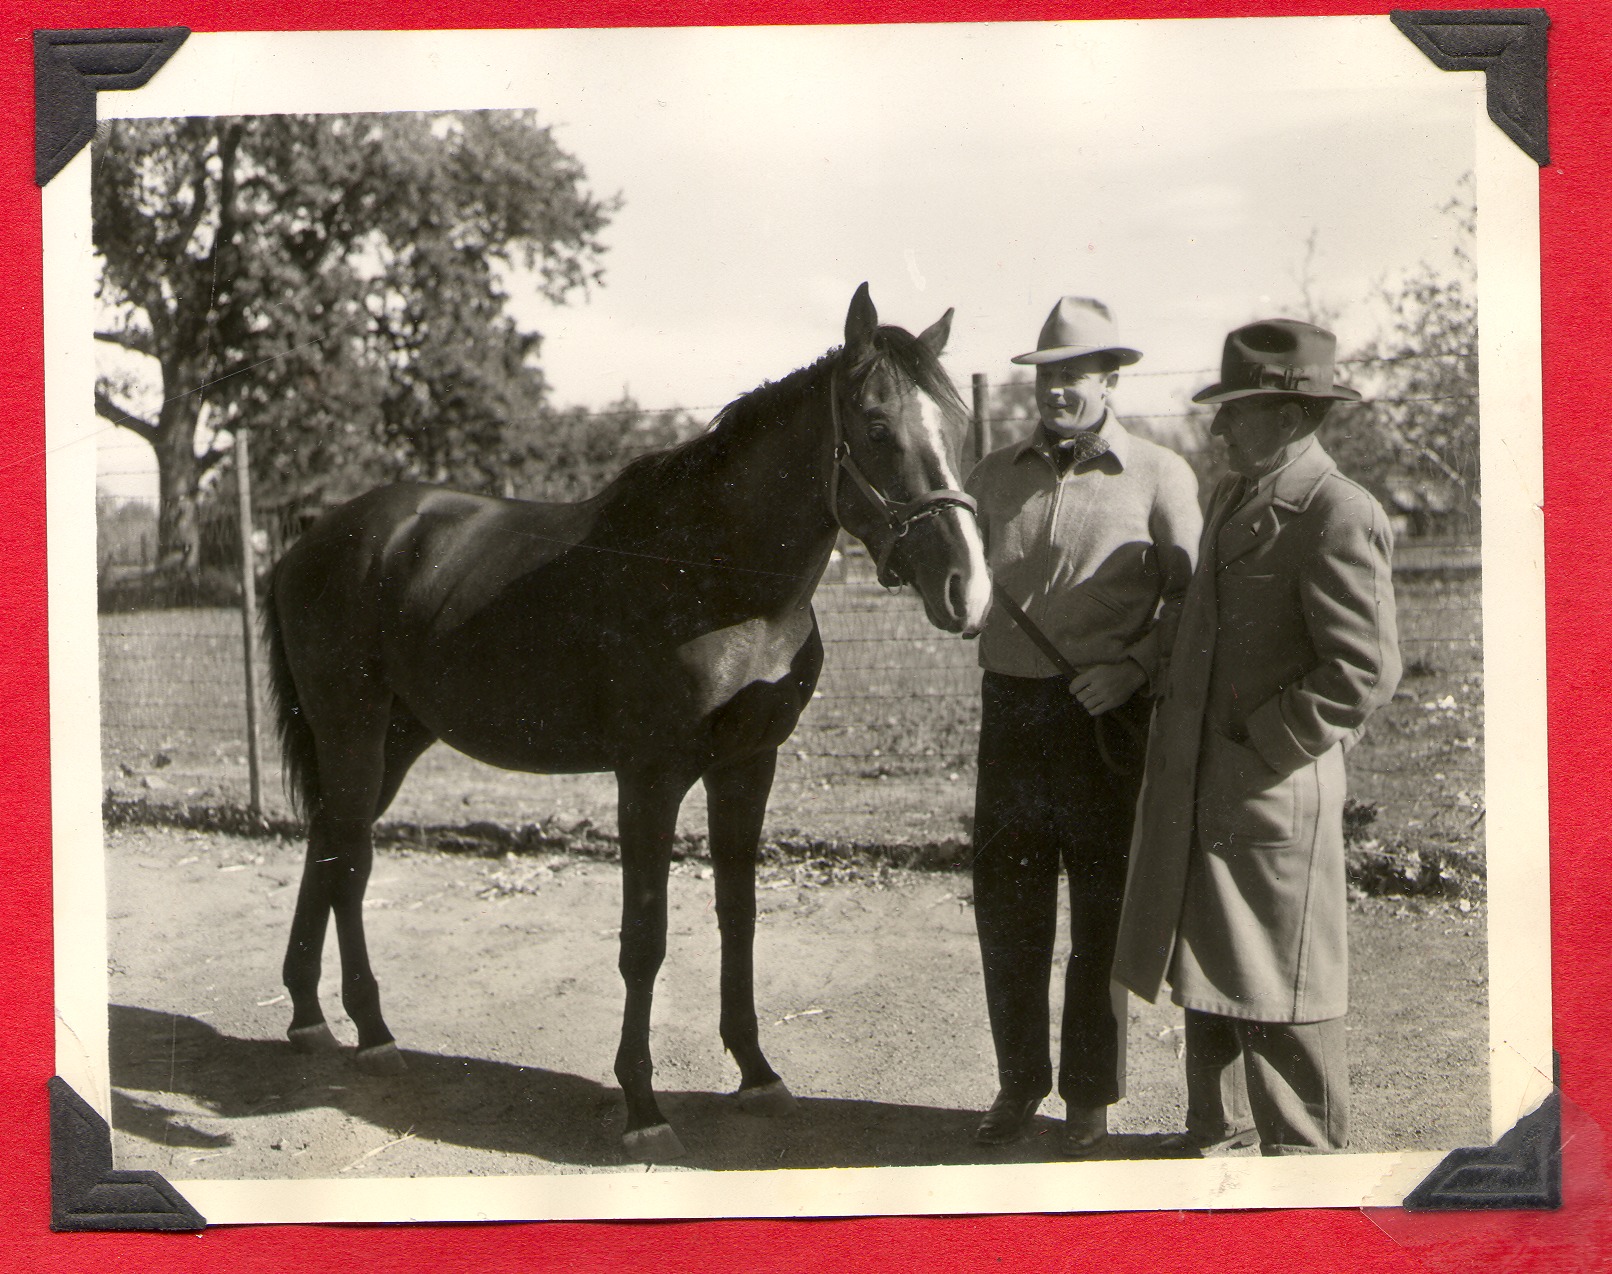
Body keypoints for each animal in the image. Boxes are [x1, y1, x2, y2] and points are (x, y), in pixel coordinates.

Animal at [261, 283, 992, 1161]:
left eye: (960, 425)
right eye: (877, 426)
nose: (968, 589)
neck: (713, 575)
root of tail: (309, 542)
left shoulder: (749, 765)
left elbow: (738, 916)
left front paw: (756, 1072)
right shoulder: (649, 779)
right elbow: (645, 939)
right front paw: (643, 1105)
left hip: (394, 739)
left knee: (329, 845)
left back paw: (311, 1017)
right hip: (355, 728)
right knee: (351, 861)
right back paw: (370, 1030)